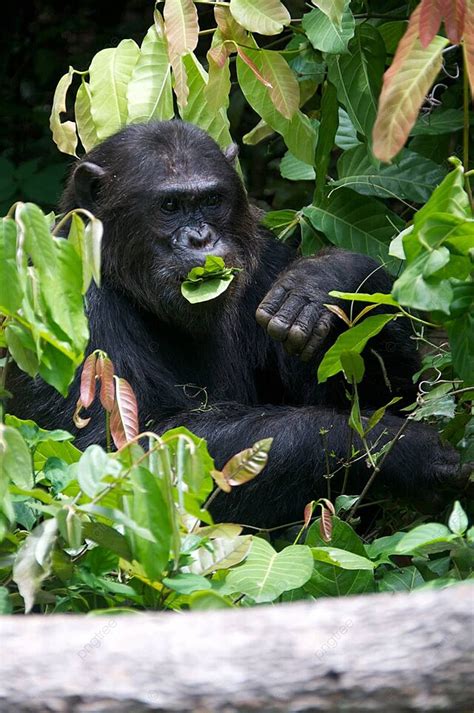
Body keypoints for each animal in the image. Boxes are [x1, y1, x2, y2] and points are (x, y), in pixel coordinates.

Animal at [8, 119, 470, 524]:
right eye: (170, 205)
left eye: (212, 200)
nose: (201, 238)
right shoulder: (68, 300)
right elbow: (114, 455)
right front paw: (398, 448)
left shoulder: (265, 257)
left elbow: (394, 395)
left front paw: (325, 277)